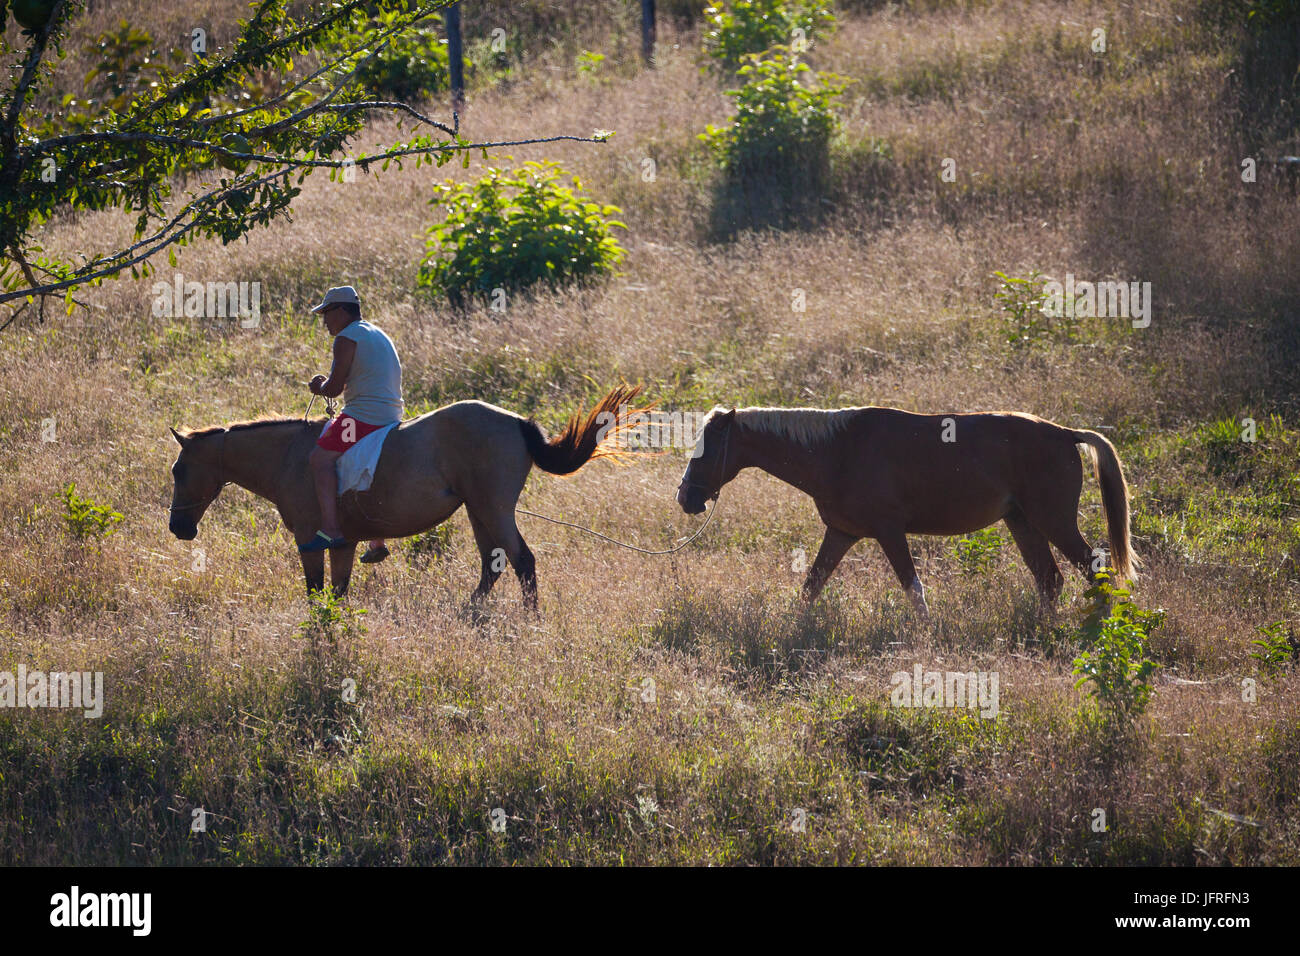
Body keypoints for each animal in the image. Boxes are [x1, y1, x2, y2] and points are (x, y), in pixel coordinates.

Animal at [167, 382, 644, 606]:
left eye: (179, 469)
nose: (178, 528)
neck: (289, 456)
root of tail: (516, 421)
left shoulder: (311, 541)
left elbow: (317, 592)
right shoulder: (345, 544)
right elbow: (337, 593)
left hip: (493, 508)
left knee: (522, 561)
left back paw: (531, 621)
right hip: (478, 510)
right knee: (492, 565)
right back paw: (468, 613)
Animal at [681, 403, 1138, 613]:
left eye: (708, 448)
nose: (685, 497)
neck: (837, 451)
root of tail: (1065, 433)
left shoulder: (889, 532)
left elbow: (914, 590)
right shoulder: (841, 533)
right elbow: (810, 587)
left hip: (1053, 521)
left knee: (1093, 570)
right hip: (1022, 523)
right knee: (1050, 580)